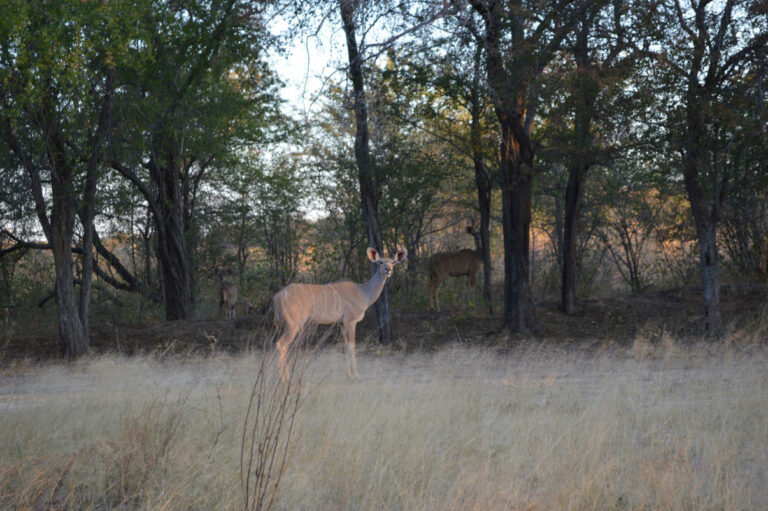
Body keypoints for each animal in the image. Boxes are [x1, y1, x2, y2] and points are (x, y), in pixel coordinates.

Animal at [273, 247, 407, 382]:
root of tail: (278, 297)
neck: (363, 295)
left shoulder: (341, 323)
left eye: (393, 262)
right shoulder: (350, 321)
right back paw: (285, 379)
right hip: (293, 323)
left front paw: (349, 375)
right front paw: (357, 375)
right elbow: (352, 346)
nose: (388, 270)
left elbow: (346, 346)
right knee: (281, 345)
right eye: (380, 262)